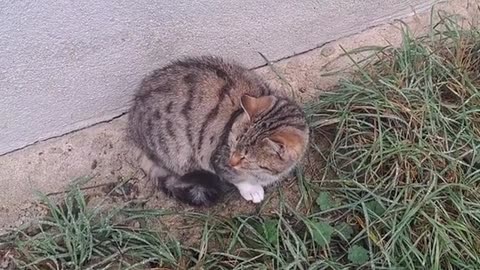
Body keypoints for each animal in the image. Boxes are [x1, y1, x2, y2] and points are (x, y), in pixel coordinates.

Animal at [125, 55, 310, 207]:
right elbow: (235, 177)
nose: (232, 161)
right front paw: (251, 189)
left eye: (246, 158)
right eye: (232, 143)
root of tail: (132, 128)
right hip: (178, 152)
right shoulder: (216, 158)